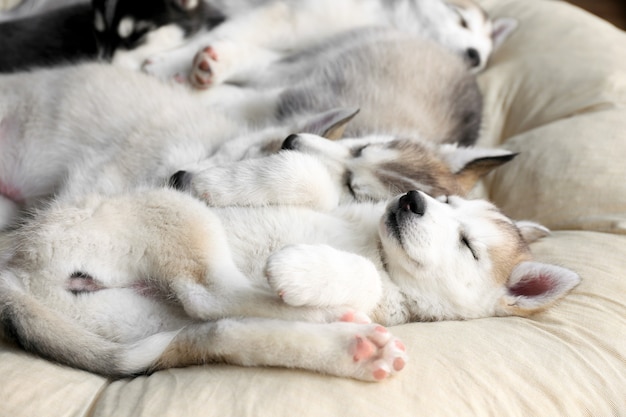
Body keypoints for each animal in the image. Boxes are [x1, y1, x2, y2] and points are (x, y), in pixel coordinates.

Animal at [0, 188, 580, 376]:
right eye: (447, 201)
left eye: (467, 245)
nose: (412, 198)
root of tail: (15, 269)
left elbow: (368, 281)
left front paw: (309, 273)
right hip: (175, 212)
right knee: (207, 294)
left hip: (139, 319)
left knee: (213, 319)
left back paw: (345, 340)